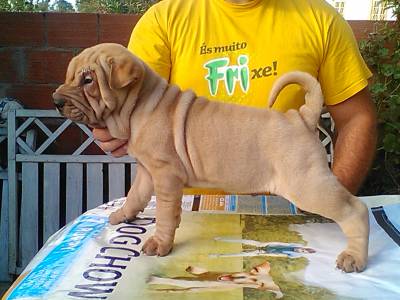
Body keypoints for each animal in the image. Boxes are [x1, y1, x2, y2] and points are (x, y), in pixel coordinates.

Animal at [52, 42, 368, 274]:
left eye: (88, 80)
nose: (55, 101)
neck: (141, 104)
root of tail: (300, 116)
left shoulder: (165, 175)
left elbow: (164, 213)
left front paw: (159, 243)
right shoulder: (147, 171)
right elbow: (136, 196)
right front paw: (122, 215)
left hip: (307, 184)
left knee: (356, 210)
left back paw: (354, 257)